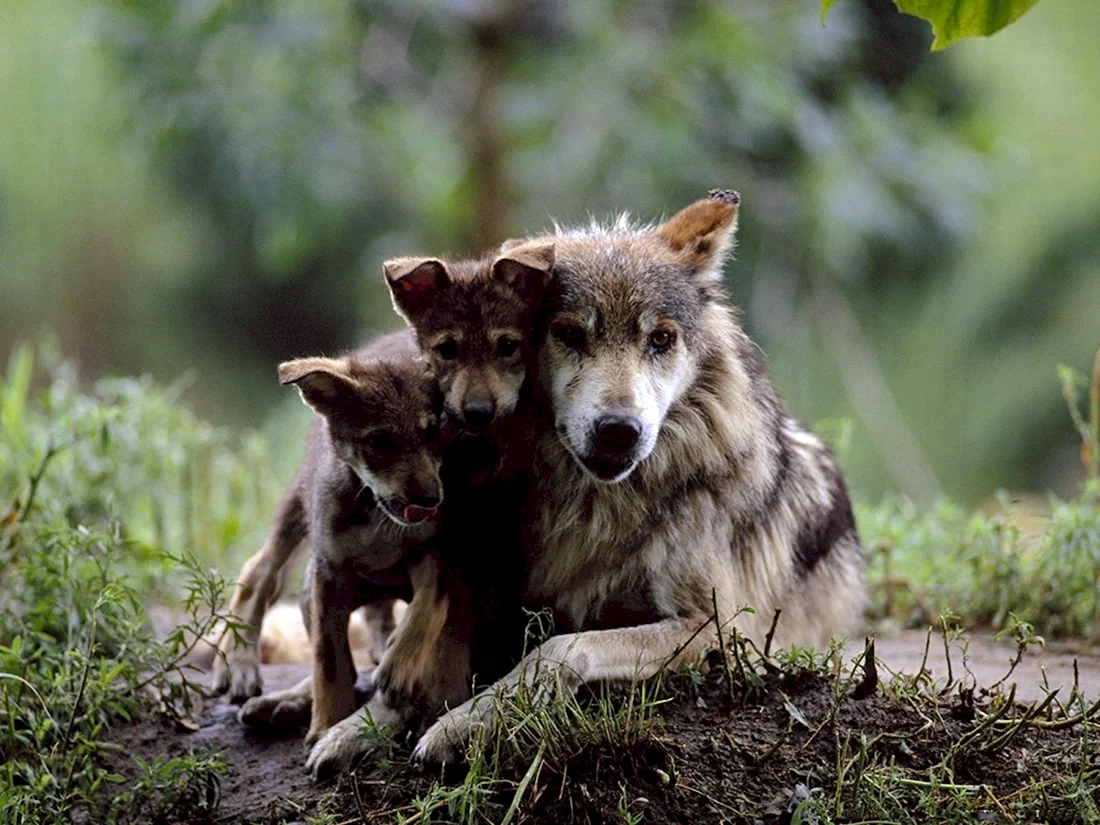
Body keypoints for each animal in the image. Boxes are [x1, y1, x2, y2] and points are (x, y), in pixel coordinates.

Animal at [413, 192, 866, 761]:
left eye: (661, 339)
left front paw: (465, 722)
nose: (618, 432)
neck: (603, 506)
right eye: (570, 334)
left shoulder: (719, 629)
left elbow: (562, 648)